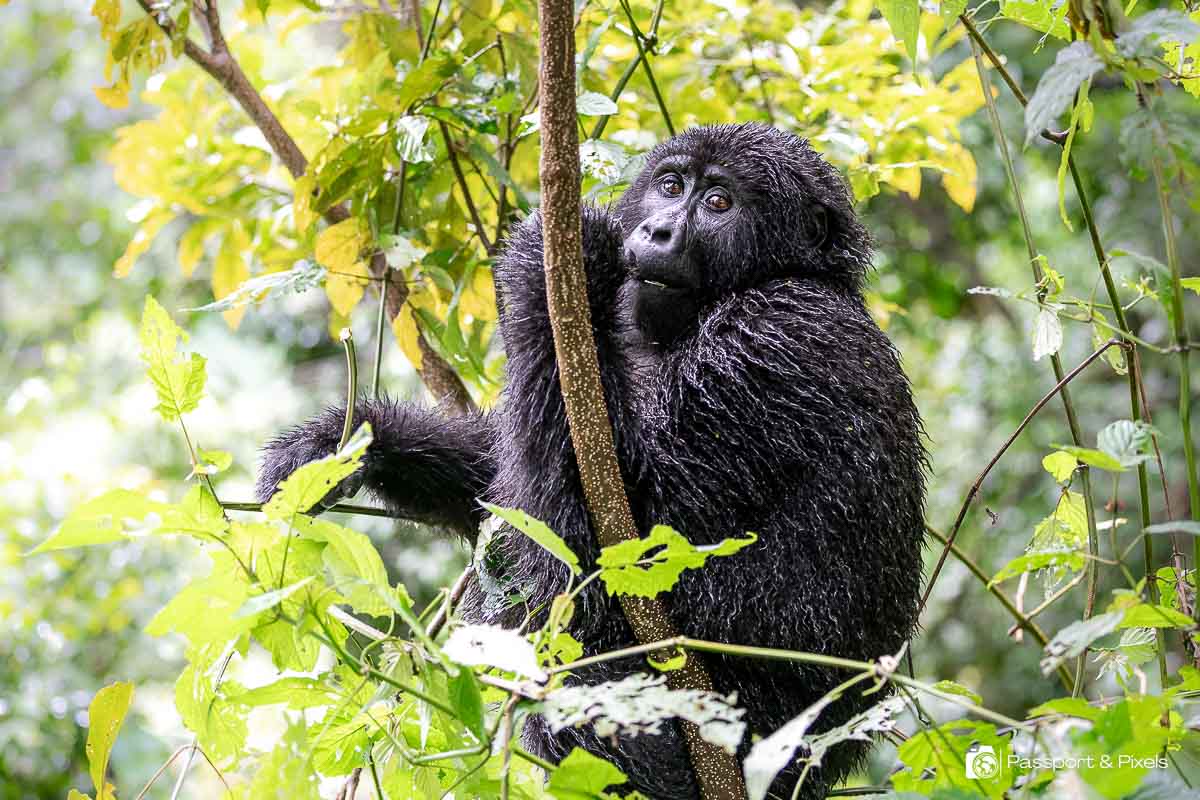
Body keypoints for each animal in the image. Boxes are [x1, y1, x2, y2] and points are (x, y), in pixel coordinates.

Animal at [258, 123, 927, 799]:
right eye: (670, 186)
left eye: (718, 203)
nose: (657, 231)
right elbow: (500, 482)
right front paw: (345, 446)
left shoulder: (775, 337)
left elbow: (628, 531)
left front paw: (557, 259)